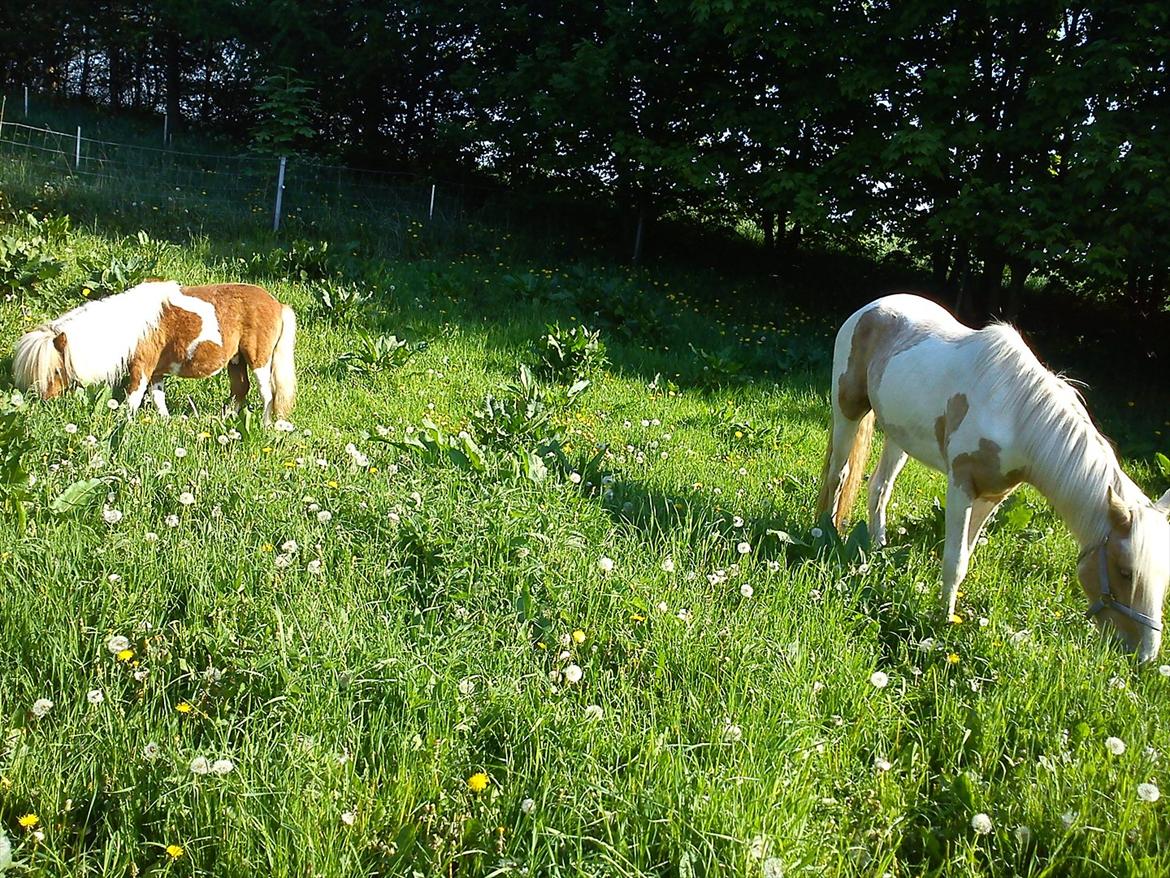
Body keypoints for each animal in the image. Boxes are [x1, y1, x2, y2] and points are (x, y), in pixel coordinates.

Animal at [12, 278, 297, 423]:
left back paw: (265, 425)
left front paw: (125, 425)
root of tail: (277, 304)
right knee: (240, 389)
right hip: (236, 361)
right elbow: (158, 398)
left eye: (55, 370)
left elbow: (134, 397)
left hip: (259, 360)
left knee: (267, 394)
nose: (43, 400)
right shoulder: (157, 372)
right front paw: (165, 422)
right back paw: (225, 420)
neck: (132, 326)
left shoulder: (142, 367)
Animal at [814, 293, 1170, 660]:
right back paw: (825, 533)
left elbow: (965, 558)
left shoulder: (991, 496)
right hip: (848, 410)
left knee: (879, 487)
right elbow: (954, 560)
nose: (1145, 655)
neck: (1015, 414)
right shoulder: (961, 487)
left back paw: (878, 548)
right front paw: (942, 622)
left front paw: (948, 617)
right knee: (838, 475)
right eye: (1125, 571)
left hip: (900, 436)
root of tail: (872, 307)